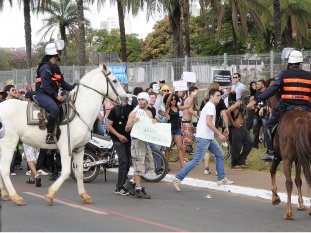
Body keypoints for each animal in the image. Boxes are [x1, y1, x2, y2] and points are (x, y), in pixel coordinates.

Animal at [0, 64, 128, 206]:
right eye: (115, 80)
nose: (127, 98)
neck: (80, 112)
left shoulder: (79, 148)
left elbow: (79, 172)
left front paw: (84, 195)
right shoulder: (66, 148)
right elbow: (66, 172)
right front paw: (50, 194)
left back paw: (5, 194)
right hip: (9, 142)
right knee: (4, 169)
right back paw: (15, 196)